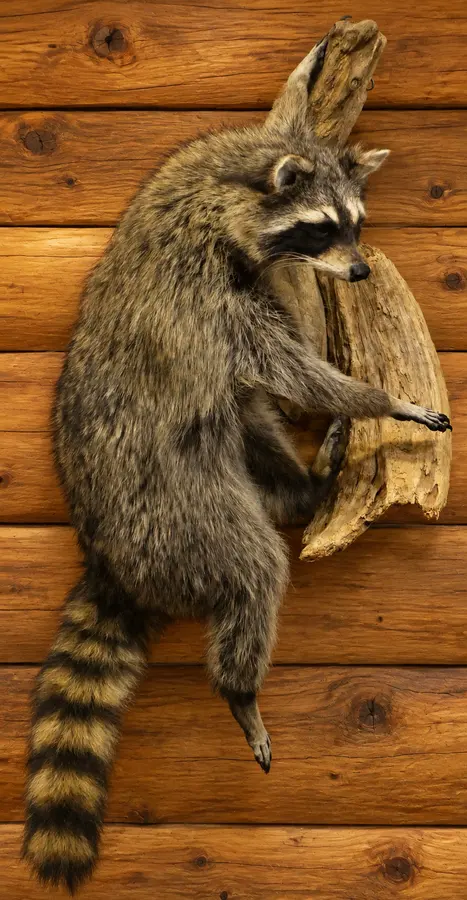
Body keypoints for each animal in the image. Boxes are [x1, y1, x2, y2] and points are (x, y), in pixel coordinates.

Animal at [23, 34, 451, 891]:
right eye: (320, 229)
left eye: (356, 224)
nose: (359, 273)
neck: (230, 186)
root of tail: (106, 553)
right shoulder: (207, 294)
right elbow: (287, 367)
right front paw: (378, 401)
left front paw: (308, 76)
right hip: (181, 514)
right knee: (251, 570)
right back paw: (239, 687)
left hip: (216, 467)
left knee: (257, 440)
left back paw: (307, 485)